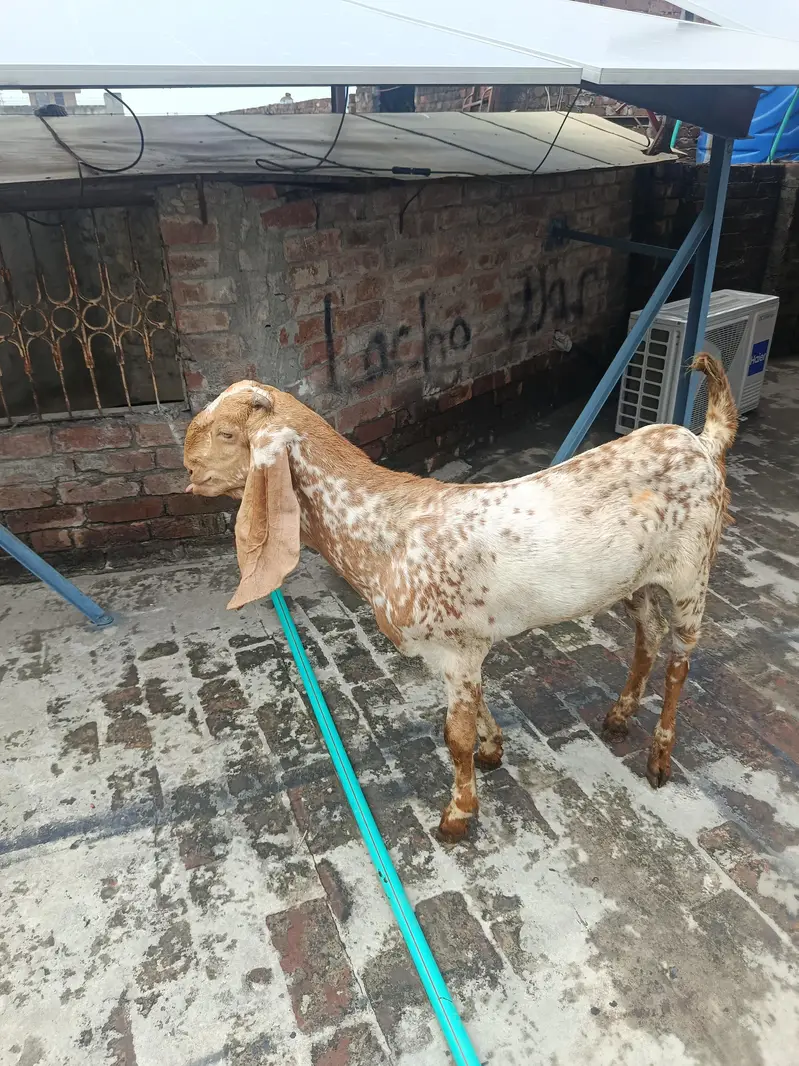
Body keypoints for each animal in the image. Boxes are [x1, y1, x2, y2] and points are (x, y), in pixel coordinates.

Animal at [184, 354, 737, 842]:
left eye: (228, 434)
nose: (187, 467)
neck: (385, 530)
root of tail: (704, 442)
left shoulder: (457, 646)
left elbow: (456, 736)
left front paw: (457, 816)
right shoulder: (456, 651)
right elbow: (476, 709)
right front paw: (493, 751)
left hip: (692, 573)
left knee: (681, 658)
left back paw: (659, 758)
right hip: (636, 580)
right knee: (649, 634)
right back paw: (620, 717)